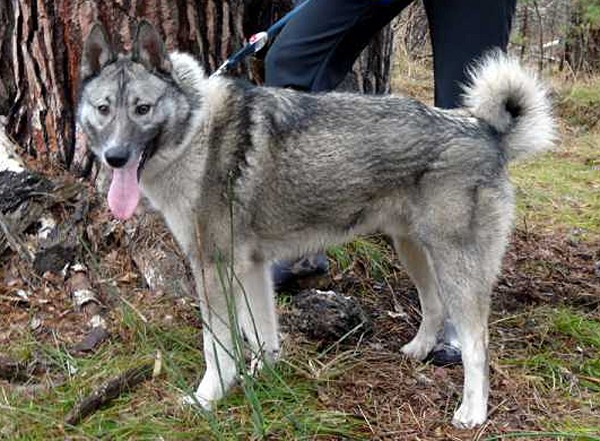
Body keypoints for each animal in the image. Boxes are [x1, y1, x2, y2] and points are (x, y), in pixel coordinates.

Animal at [78, 21, 555, 428]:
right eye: (104, 109)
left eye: (143, 109)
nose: (115, 157)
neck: (196, 131)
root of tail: (486, 132)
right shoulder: (250, 268)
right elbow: (261, 331)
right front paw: (262, 373)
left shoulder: (212, 270)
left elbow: (217, 348)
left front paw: (206, 398)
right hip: (413, 249)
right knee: (434, 305)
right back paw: (417, 350)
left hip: (456, 262)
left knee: (476, 342)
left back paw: (472, 410)